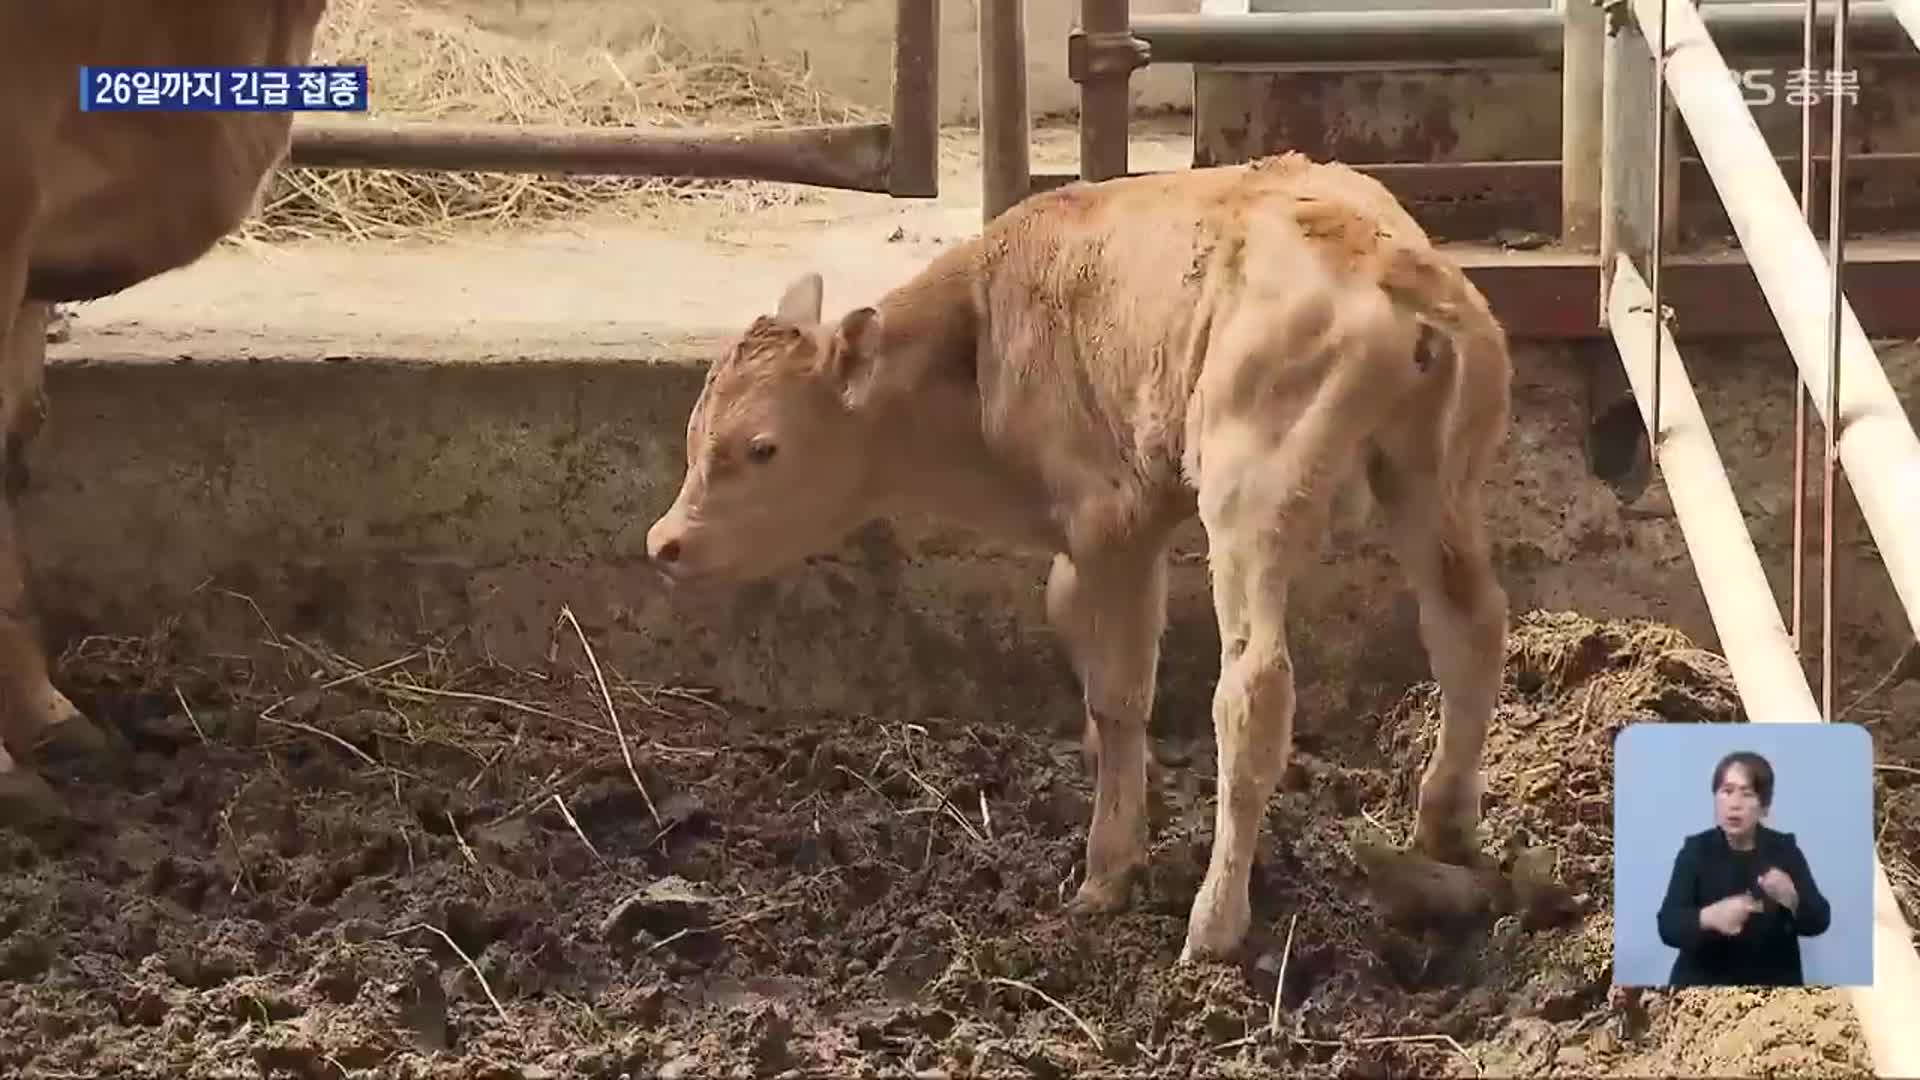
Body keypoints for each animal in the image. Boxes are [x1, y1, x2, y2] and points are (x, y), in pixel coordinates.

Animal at [645, 153, 1512, 957]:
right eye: (694, 432)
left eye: (763, 447)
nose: (665, 543)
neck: (980, 344)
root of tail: (1392, 261)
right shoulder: (1111, 526)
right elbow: (1068, 616)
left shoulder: (1112, 518)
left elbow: (1120, 690)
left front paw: (1108, 868)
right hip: (1436, 483)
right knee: (1469, 629)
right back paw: (1445, 827)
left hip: (1253, 497)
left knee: (1254, 691)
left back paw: (1214, 923)